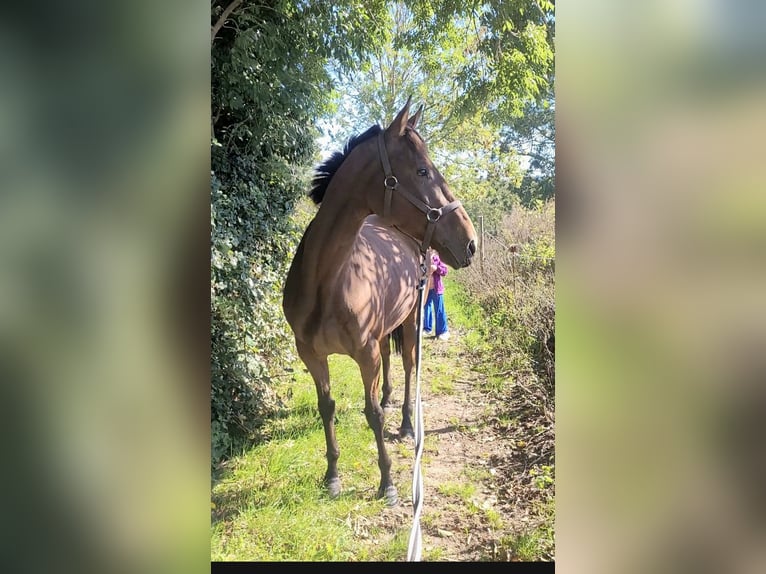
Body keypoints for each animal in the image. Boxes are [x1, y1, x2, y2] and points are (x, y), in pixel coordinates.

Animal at [280, 99, 474, 508]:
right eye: (422, 170)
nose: (470, 242)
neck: (326, 282)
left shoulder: (363, 354)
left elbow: (372, 417)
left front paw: (388, 484)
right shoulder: (311, 354)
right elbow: (327, 407)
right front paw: (332, 476)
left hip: (412, 318)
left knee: (409, 366)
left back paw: (405, 423)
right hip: (386, 328)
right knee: (389, 358)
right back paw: (388, 401)